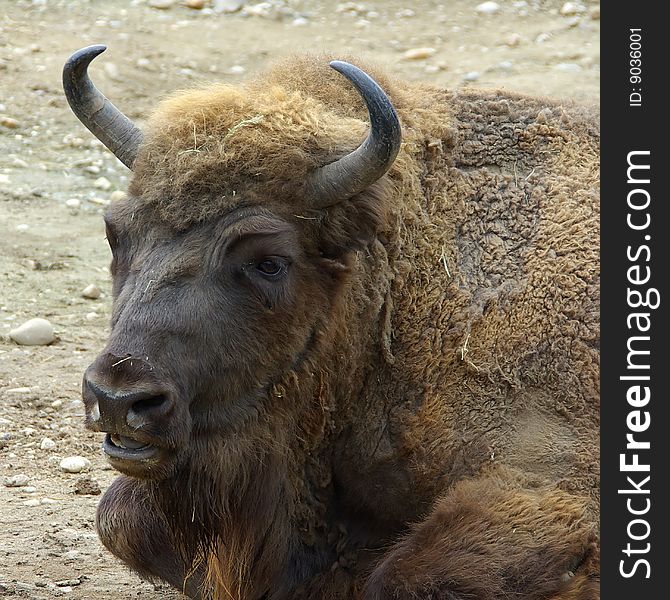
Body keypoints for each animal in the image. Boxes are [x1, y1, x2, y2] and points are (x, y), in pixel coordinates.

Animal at [64, 44, 600, 596]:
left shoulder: (549, 481)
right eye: (115, 234)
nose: (117, 398)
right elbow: (120, 519)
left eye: (269, 262)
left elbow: (401, 577)